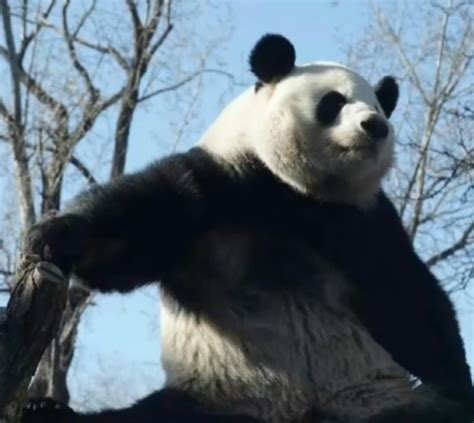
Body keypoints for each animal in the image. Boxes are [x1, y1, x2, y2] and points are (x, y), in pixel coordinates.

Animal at [21, 35, 470, 423]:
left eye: (378, 103)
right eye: (334, 101)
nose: (375, 125)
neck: (297, 193)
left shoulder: (362, 222)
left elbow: (405, 297)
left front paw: (455, 381)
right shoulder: (218, 187)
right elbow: (133, 234)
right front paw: (54, 237)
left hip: (369, 400)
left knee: (431, 413)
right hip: (224, 396)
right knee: (151, 416)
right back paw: (47, 411)